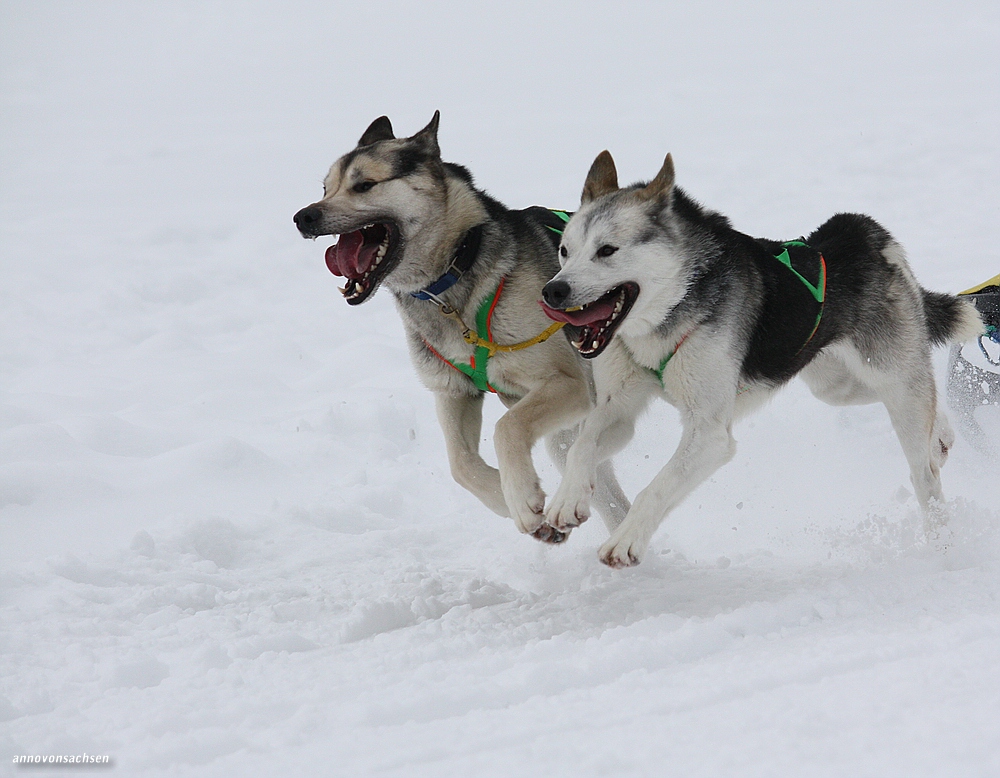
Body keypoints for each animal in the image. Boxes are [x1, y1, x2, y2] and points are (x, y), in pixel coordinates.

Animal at [292, 113, 628, 540]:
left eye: (364, 185)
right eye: (325, 188)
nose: (304, 216)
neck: (453, 275)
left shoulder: (566, 383)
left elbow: (506, 428)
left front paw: (521, 498)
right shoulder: (454, 391)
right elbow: (461, 465)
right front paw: (507, 499)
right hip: (569, 438)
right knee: (610, 498)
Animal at [540, 150, 984, 564]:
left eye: (607, 250)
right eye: (564, 251)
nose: (554, 291)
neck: (674, 308)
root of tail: (862, 232)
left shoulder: (709, 434)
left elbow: (658, 486)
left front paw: (626, 540)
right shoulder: (619, 407)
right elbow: (583, 444)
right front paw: (568, 499)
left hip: (895, 384)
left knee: (924, 473)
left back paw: (942, 540)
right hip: (836, 385)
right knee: (924, 406)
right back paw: (941, 436)